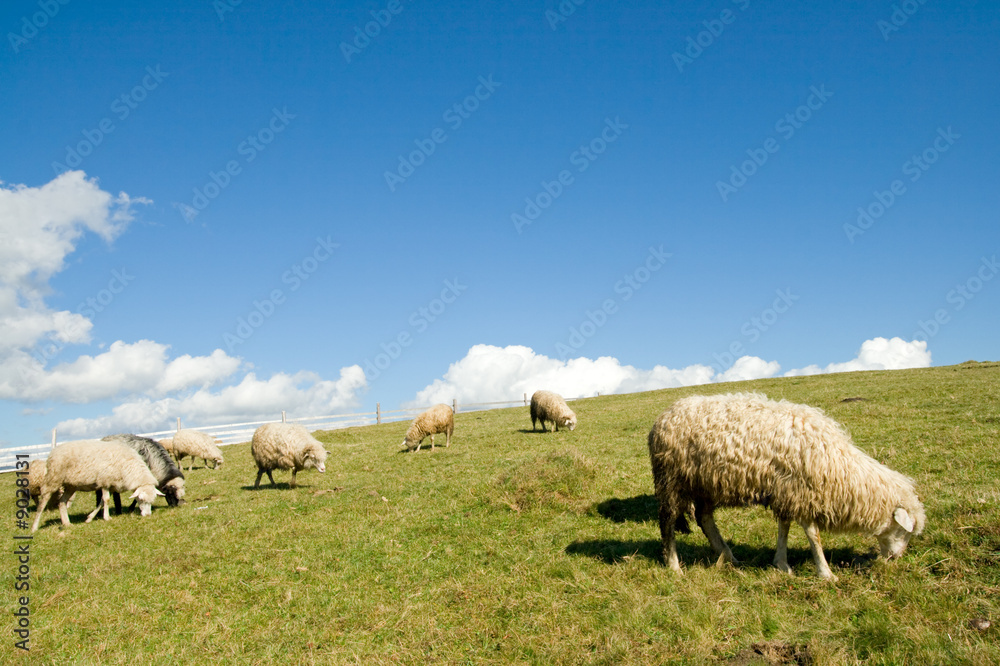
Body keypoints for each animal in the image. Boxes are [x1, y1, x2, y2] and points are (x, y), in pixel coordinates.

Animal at [31, 439, 163, 532]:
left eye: (153, 500)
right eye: (140, 499)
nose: (147, 515)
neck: (127, 467)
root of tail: (53, 451)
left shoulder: (109, 484)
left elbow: (101, 502)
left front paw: (90, 518)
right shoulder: (105, 481)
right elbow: (106, 500)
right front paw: (107, 517)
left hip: (71, 485)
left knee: (62, 502)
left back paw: (66, 523)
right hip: (53, 478)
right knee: (42, 503)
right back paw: (34, 527)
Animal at [647, 392, 925, 581]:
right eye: (904, 531)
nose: (894, 559)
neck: (838, 468)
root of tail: (663, 417)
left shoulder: (787, 492)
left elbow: (784, 526)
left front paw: (781, 563)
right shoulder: (800, 491)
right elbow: (813, 534)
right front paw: (825, 572)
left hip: (705, 483)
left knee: (705, 519)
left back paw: (729, 556)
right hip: (672, 480)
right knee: (668, 520)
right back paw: (674, 565)